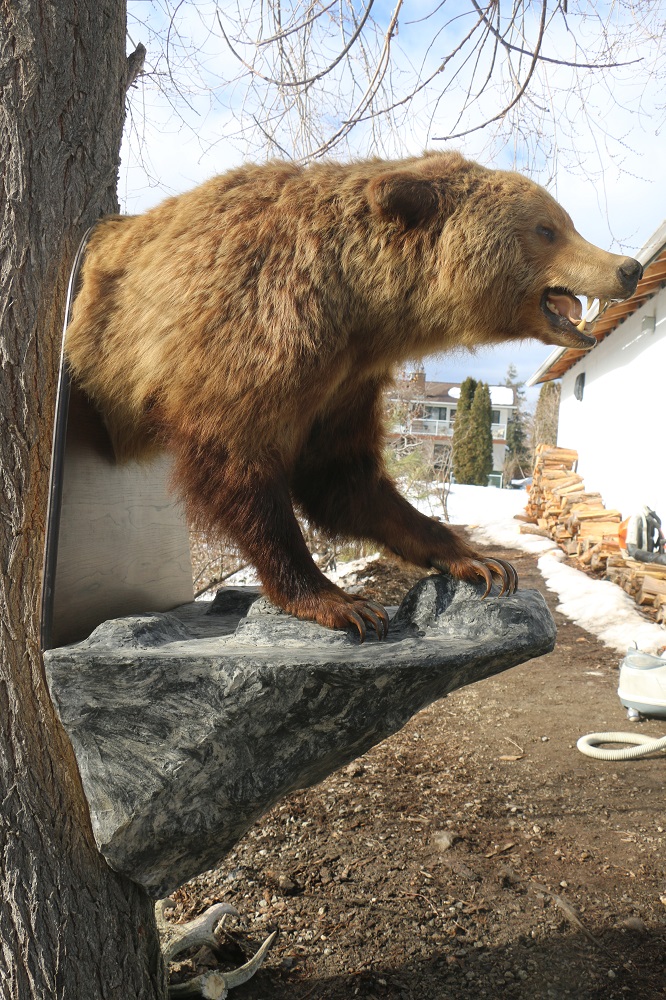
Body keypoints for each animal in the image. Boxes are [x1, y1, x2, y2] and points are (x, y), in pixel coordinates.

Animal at [65, 151, 640, 636]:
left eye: (565, 221)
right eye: (547, 228)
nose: (628, 268)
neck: (356, 307)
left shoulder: (344, 381)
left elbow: (343, 477)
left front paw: (479, 560)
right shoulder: (253, 335)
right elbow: (237, 463)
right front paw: (339, 601)